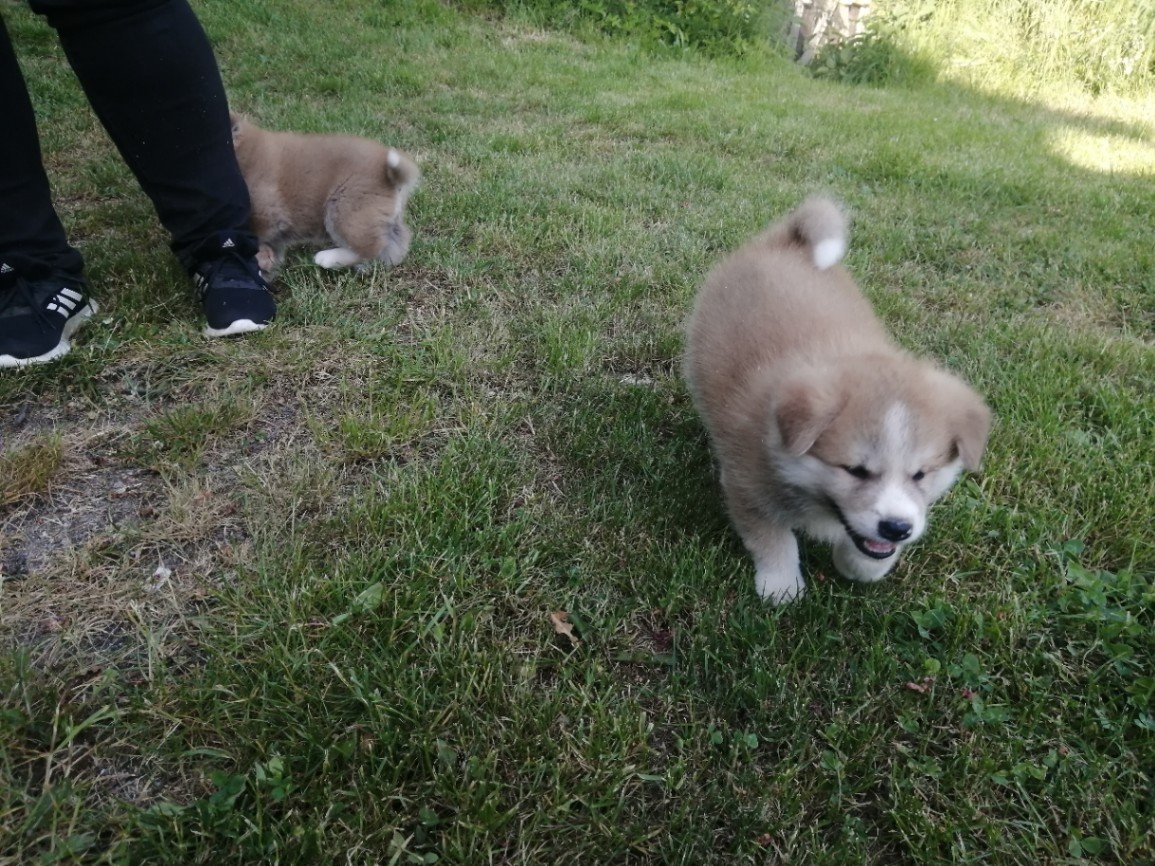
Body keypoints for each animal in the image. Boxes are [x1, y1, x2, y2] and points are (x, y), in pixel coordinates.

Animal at [229, 113, 419, 277]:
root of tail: (387, 173)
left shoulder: (265, 214)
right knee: (393, 246)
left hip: (344, 209)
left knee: (370, 247)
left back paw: (328, 258)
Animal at [683, 197, 991, 604]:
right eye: (855, 470)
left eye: (921, 474)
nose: (896, 528)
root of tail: (787, 242)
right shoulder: (748, 488)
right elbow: (773, 540)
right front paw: (781, 587)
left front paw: (861, 566)